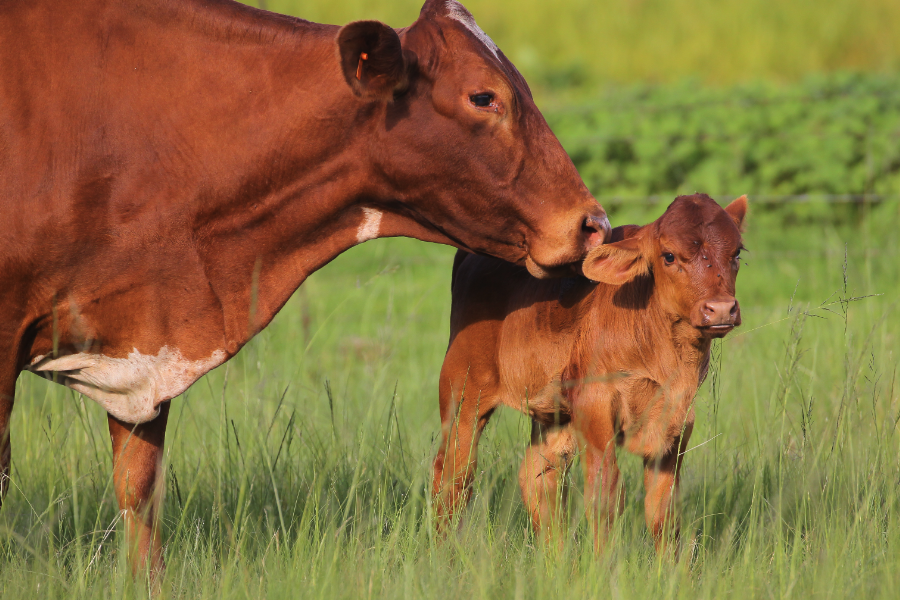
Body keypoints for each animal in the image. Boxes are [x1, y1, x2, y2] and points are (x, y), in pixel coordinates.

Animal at [432, 195, 748, 552]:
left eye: (737, 253)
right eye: (668, 255)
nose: (720, 308)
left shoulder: (678, 420)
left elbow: (663, 510)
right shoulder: (594, 405)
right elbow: (605, 496)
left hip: (552, 412)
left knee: (539, 476)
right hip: (462, 389)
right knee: (453, 474)